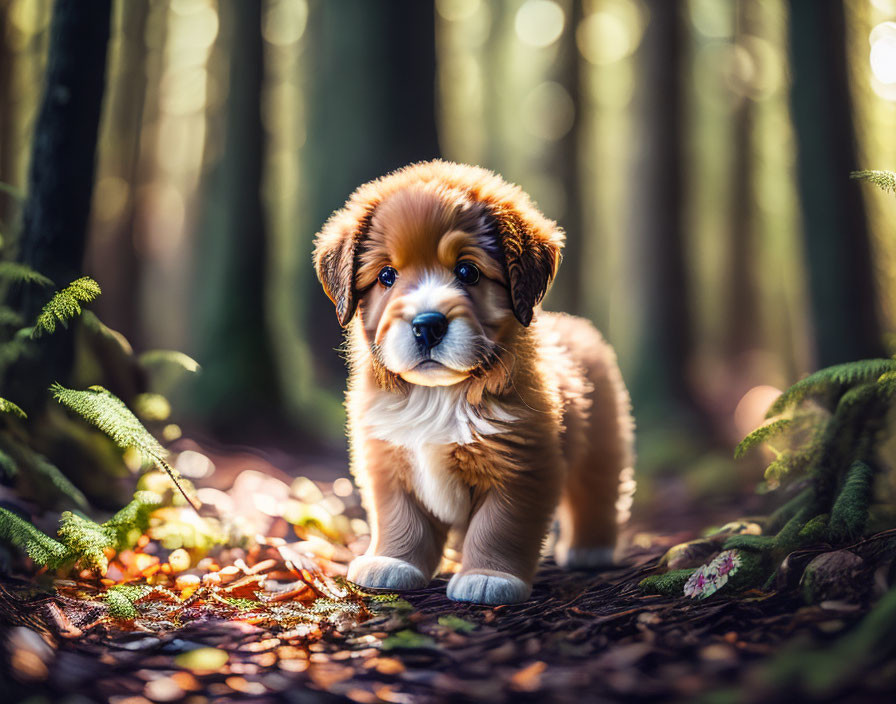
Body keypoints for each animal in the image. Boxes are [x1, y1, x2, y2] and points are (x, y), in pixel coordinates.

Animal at [312, 160, 632, 604]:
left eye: (467, 271)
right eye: (387, 276)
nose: (427, 325)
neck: (436, 395)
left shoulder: (521, 467)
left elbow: (499, 526)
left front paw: (488, 576)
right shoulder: (387, 463)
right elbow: (400, 520)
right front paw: (393, 562)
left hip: (602, 445)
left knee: (596, 494)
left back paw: (591, 549)